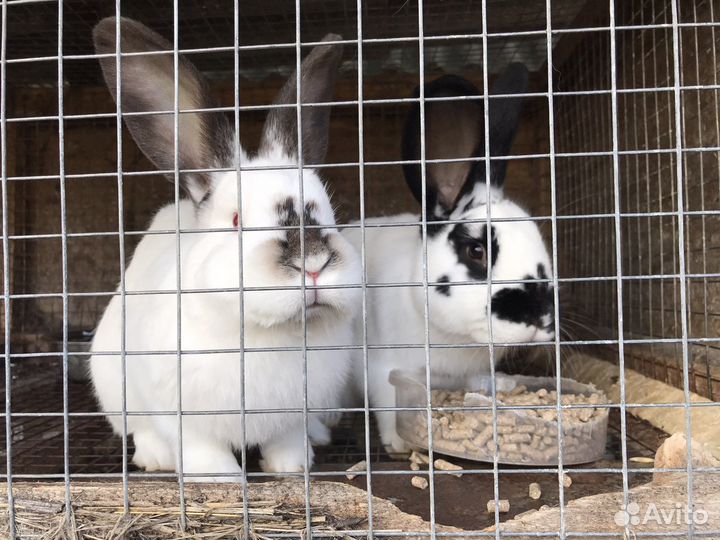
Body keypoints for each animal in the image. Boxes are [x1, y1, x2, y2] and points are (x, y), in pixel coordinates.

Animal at [89, 17, 361, 481]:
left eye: (326, 211)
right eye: (236, 221)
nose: (313, 264)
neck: (269, 335)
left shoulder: (291, 415)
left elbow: (287, 440)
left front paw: (292, 467)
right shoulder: (184, 416)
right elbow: (201, 449)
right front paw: (219, 478)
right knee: (140, 429)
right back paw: (155, 458)